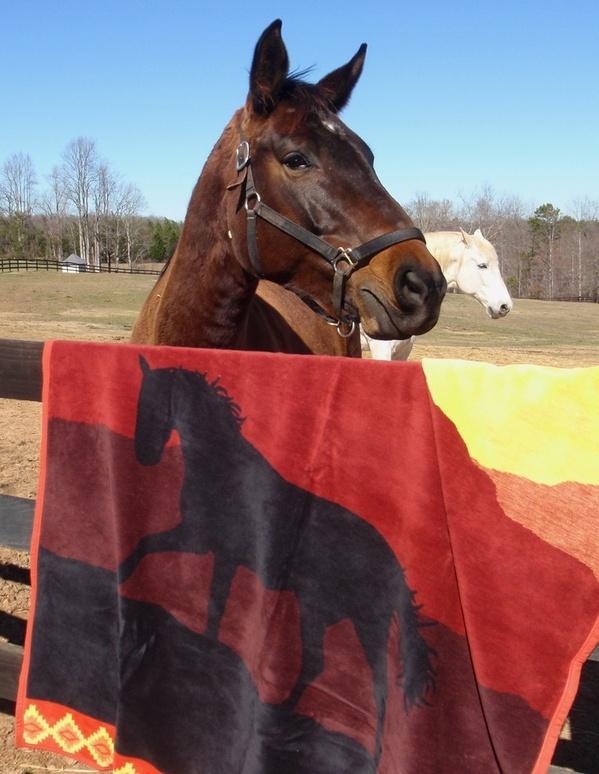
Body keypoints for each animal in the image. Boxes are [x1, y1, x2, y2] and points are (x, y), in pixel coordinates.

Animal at [119, 358, 436, 766]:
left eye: (158, 403)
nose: (144, 455)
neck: (222, 467)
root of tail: (393, 561)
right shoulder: (208, 547)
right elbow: (186, 584)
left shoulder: (204, 545)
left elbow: (206, 601)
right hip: (320, 611)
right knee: (319, 664)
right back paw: (282, 710)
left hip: (359, 622)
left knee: (375, 687)